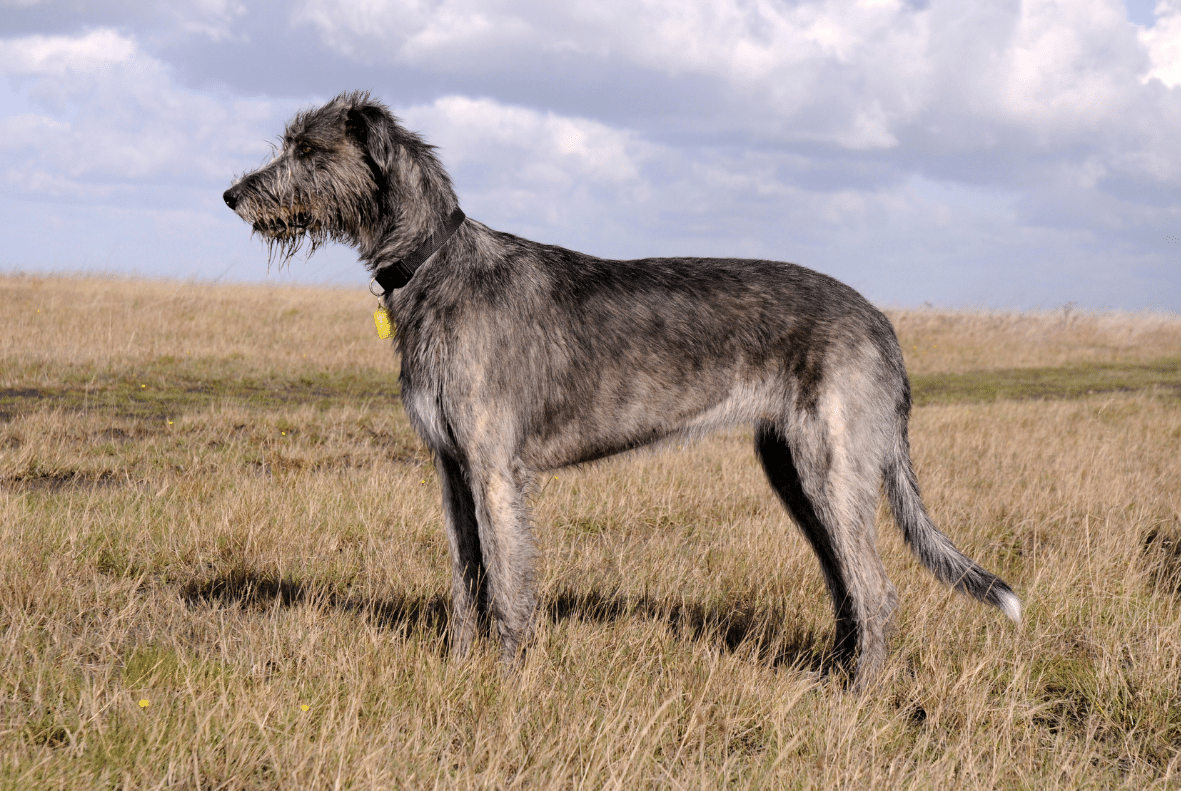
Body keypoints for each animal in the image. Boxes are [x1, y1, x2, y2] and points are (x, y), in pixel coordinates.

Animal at [225, 91, 1020, 689]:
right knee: (844, 584)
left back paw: (857, 697)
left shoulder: (495, 468)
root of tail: (881, 322)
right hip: (794, 471)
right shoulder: (451, 467)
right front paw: (457, 671)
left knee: (875, 589)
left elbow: (506, 584)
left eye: (308, 150)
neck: (435, 263)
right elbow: (465, 578)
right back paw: (833, 676)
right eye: (287, 143)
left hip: (831, 461)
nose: (232, 195)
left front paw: (506, 685)